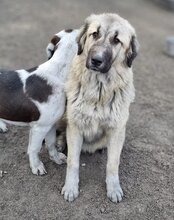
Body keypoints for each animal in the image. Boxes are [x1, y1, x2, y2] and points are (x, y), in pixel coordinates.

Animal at [0, 28, 78, 174]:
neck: (58, 72)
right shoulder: (40, 128)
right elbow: (34, 149)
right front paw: (36, 166)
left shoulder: (50, 125)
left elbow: (51, 144)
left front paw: (56, 158)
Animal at [61, 13, 139, 203]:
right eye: (94, 34)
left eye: (117, 40)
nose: (96, 60)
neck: (99, 90)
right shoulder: (75, 127)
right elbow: (73, 162)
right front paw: (71, 187)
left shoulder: (117, 131)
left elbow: (112, 164)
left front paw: (114, 188)